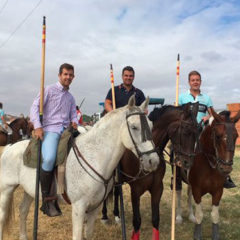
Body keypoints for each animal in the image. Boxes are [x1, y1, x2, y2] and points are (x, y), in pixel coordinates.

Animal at [0, 96, 161, 240]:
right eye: (134, 127)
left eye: (151, 126)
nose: (153, 161)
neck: (94, 157)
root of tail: (9, 148)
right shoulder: (78, 208)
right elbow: (77, 236)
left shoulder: (95, 208)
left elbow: (88, 234)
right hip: (6, 190)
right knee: (2, 217)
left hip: (30, 191)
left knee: (23, 211)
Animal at [101, 102, 199, 239]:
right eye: (186, 131)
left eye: (198, 132)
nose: (187, 163)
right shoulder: (135, 190)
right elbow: (137, 222)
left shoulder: (157, 187)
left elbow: (155, 219)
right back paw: (105, 216)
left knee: (116, 193)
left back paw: (117, 215)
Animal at [189, 109, 240, 240]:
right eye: (217, 136)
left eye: (236, 136)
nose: (226, 168)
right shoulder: (197, 190)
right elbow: (199, 214)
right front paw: (197, 234)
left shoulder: (218, 191)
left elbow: (215, 215)